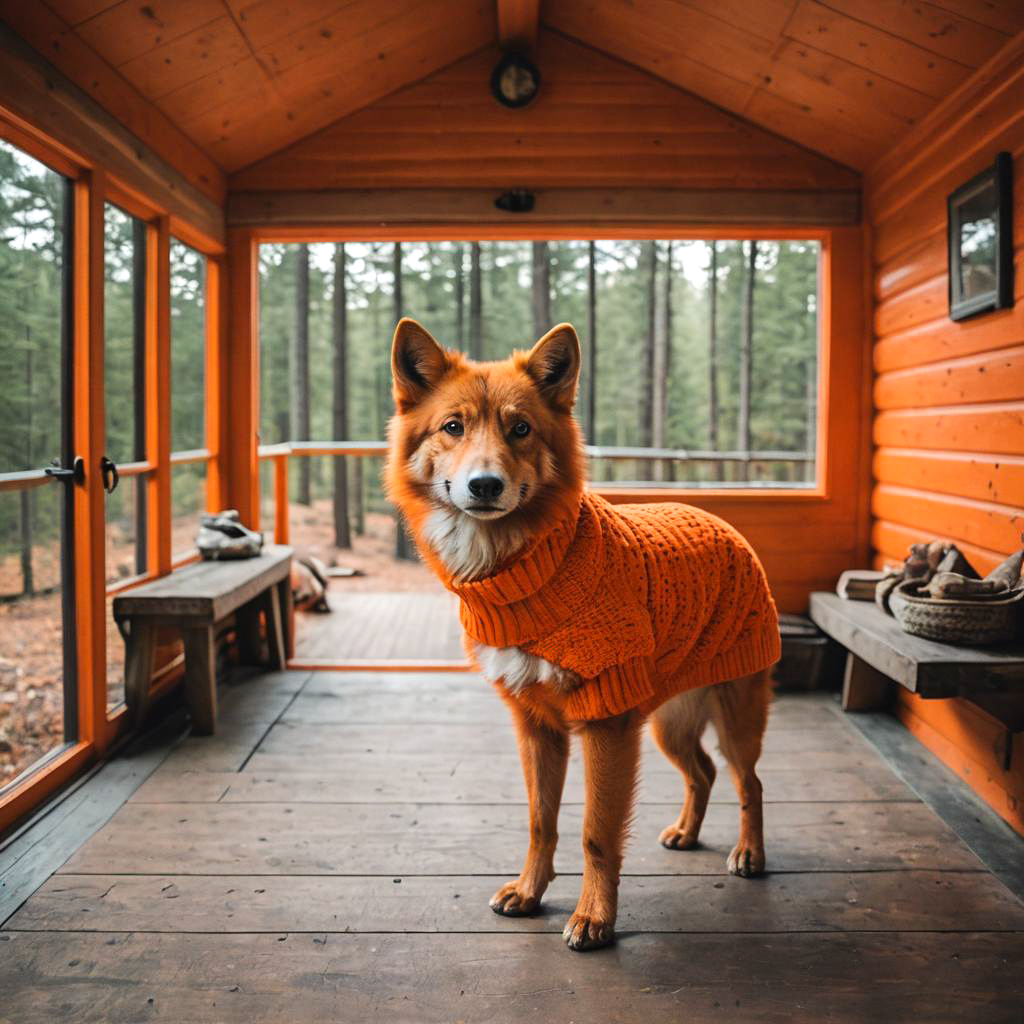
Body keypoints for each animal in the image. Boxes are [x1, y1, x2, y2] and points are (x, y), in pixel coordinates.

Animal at [385, 317, 774, 950]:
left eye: (520, 429)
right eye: (453, 426)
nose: (485, 485)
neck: (529, 567)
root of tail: (717, 518)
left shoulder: (606, 723)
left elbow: (596, 832)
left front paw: (594, 918)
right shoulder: (535, 726)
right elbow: (541, 821)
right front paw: (529, 892)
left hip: (734, 713)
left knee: (749, 781)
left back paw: (749, 853)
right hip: (668, 721)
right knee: (704, 772)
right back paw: (687, 833)